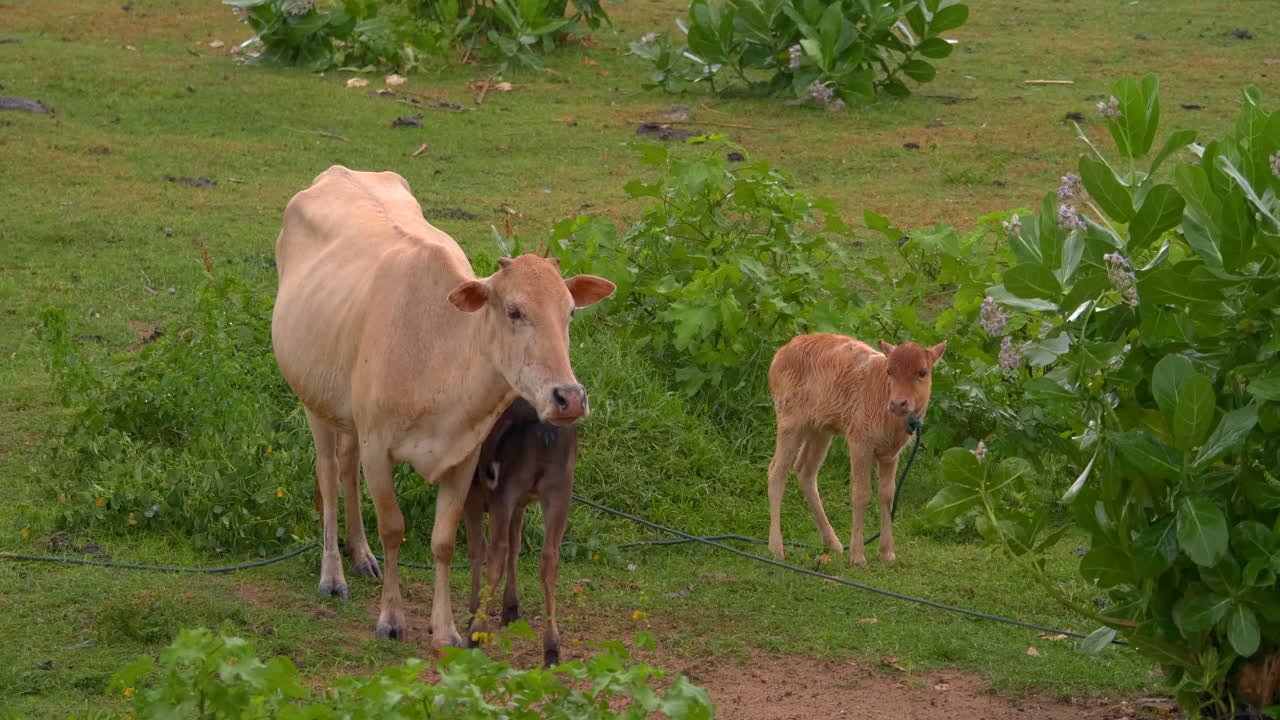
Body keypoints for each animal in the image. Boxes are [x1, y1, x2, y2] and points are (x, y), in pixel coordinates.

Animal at [463, 396, 576, 666]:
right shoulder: (521, 502)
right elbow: (516, 545)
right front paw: (511, 608)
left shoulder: (472, 495)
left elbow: (477, 548)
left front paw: (474, 610)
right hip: (560, 490)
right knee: (549, 558)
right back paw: (552, 648)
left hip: (505, 491)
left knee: (496, 552)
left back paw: (475, 633)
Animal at [766, 334, 946, 567]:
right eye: (890, 371)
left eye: (922, 372)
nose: (898, 403)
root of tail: (782, 352)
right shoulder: (860, 443)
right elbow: (861, 493)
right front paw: (858, 558)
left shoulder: (890, 454)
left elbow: (887, 494)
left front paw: (887, 554)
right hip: (789, 421)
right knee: (777, 471)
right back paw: (776, 548)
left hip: (820, 429)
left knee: (805, 470)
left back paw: (833, 543)